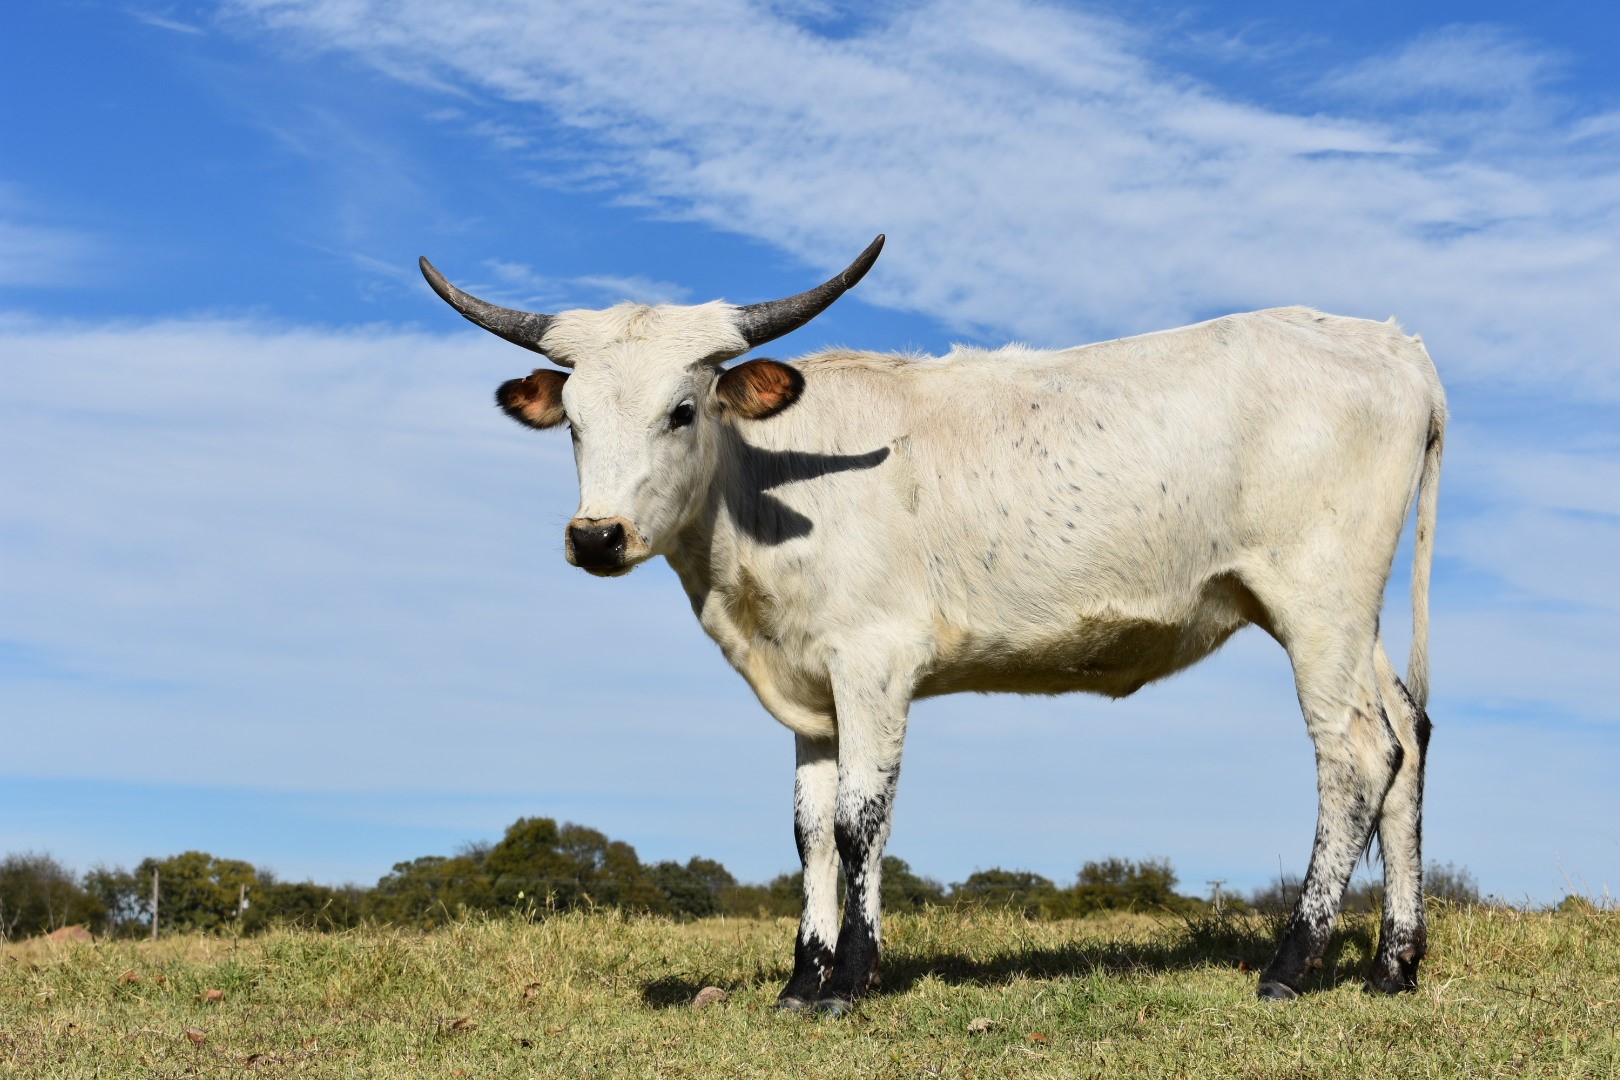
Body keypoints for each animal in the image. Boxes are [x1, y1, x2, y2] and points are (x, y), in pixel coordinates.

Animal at [420, 235, 1446, 1014]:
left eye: (681, 410)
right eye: (573, 421)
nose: (596, 535)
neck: (759, 493)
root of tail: (1392, 345)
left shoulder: (874, 661)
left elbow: (857, 821)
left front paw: (850, 983)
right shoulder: (810, 684)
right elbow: (807, 830)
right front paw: (801, 981)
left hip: (1316, 599)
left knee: (1355, 754)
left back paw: (1291, 965)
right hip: (1351, 611)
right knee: (1405, 733)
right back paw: (1394, 964)